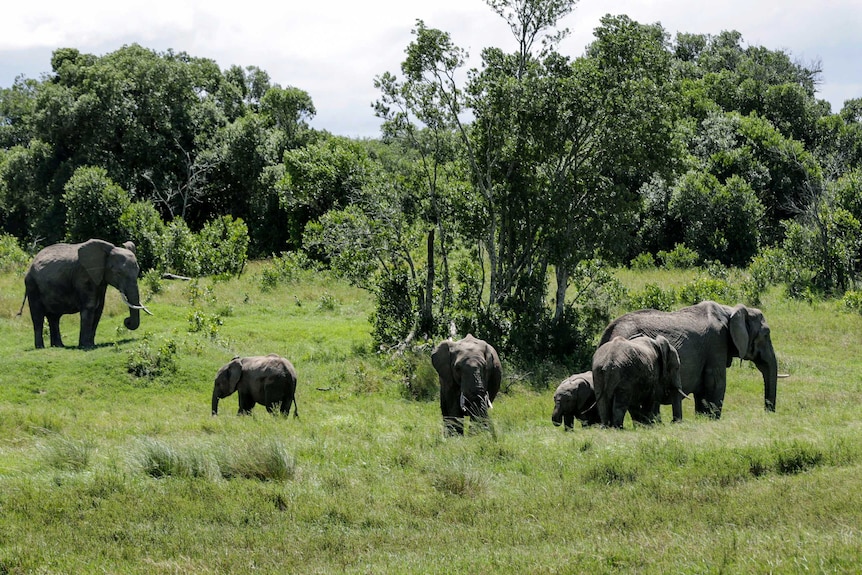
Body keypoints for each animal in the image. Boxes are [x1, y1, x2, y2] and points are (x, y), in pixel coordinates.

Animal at [18, 237, 151, 348]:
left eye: (138, 271)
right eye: (118, 273)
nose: (126, 321)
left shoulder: (100, 279)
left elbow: (99, 309)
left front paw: (91, 344)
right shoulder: (84, 275)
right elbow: (90, 307)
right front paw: (86, 346)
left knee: (54, 318)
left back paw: (58, 346)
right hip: (32, 285)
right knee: (38, 317)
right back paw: (40, 347)